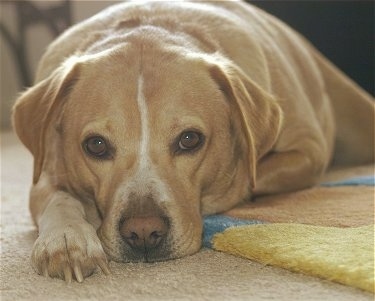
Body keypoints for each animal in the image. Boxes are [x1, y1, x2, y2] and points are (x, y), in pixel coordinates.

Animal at [11, 0, 375, 282]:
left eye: (189, 139)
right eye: (96, 145)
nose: (143, 233)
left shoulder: (308, 150)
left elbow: (244, 178)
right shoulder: (44, 172)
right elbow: (57, 198)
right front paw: (67, 240)